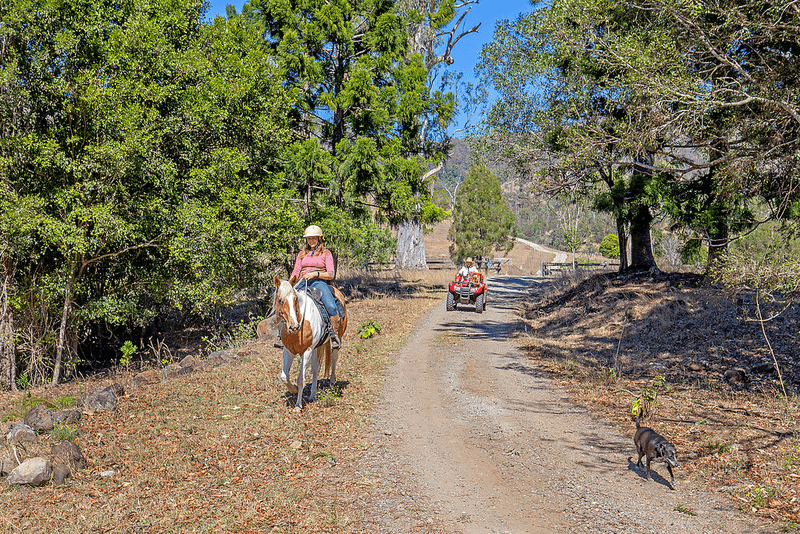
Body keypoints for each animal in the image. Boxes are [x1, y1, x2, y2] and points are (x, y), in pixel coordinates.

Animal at [264, 274, 348, 412]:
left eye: (295, 299)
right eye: (280, 300)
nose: (294, 327)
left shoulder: (307, 351)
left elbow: (301, 379)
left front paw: (298, 405)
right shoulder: (289, 351)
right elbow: (284, 377)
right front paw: (293, 390)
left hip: (336, 338)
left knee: (334, 359)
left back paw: (331, 383)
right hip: (315, 348)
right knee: (315, 367)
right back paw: (312, 395)